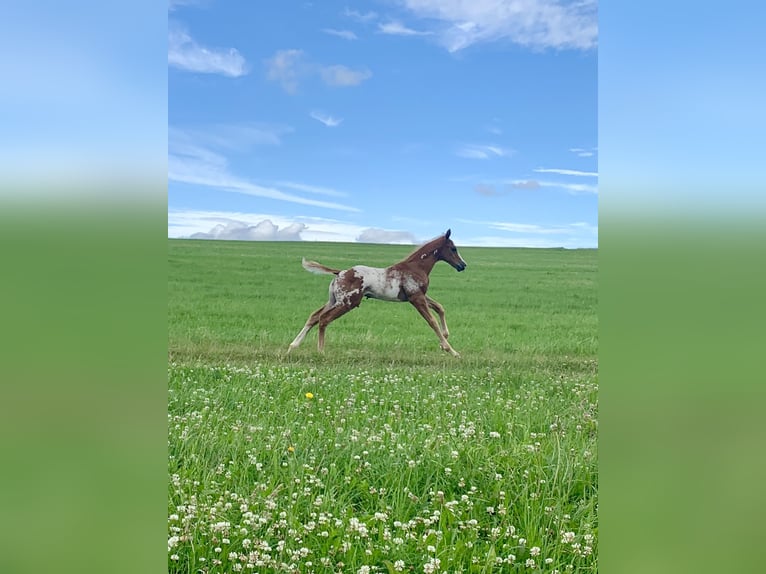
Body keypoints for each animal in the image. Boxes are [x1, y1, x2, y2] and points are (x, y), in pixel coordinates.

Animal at [288, 228, 468, 356]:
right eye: (453, 248)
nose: (463, 265)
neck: (416, 267)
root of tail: (339, 273)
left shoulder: (419, 296)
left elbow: (440, 308)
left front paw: (445, 338)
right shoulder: (416, 298)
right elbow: (432, 321)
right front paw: (451, 351)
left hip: (334, 300)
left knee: (314, 316)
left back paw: (292, 346)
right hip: (347, 303)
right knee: (324, 319)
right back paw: (321, 352)